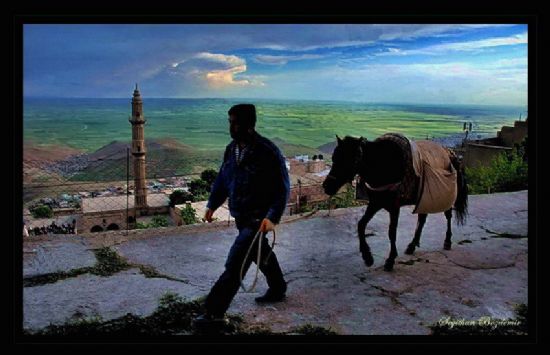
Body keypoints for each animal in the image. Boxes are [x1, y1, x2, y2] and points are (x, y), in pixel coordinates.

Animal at [324, 134, 470, 272]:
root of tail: (450, 153)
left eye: (353, 160)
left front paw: (390, 260)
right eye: (334, 157)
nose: (327, 186)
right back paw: (412, 245)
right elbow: (361, 225)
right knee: (422, 219)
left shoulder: (394, 207)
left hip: (446, 195)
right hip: (424, 198)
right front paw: (368, 257)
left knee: (448, 215)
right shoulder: (375, 203)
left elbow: (392, 232)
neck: (383, 163)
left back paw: (447, 241)